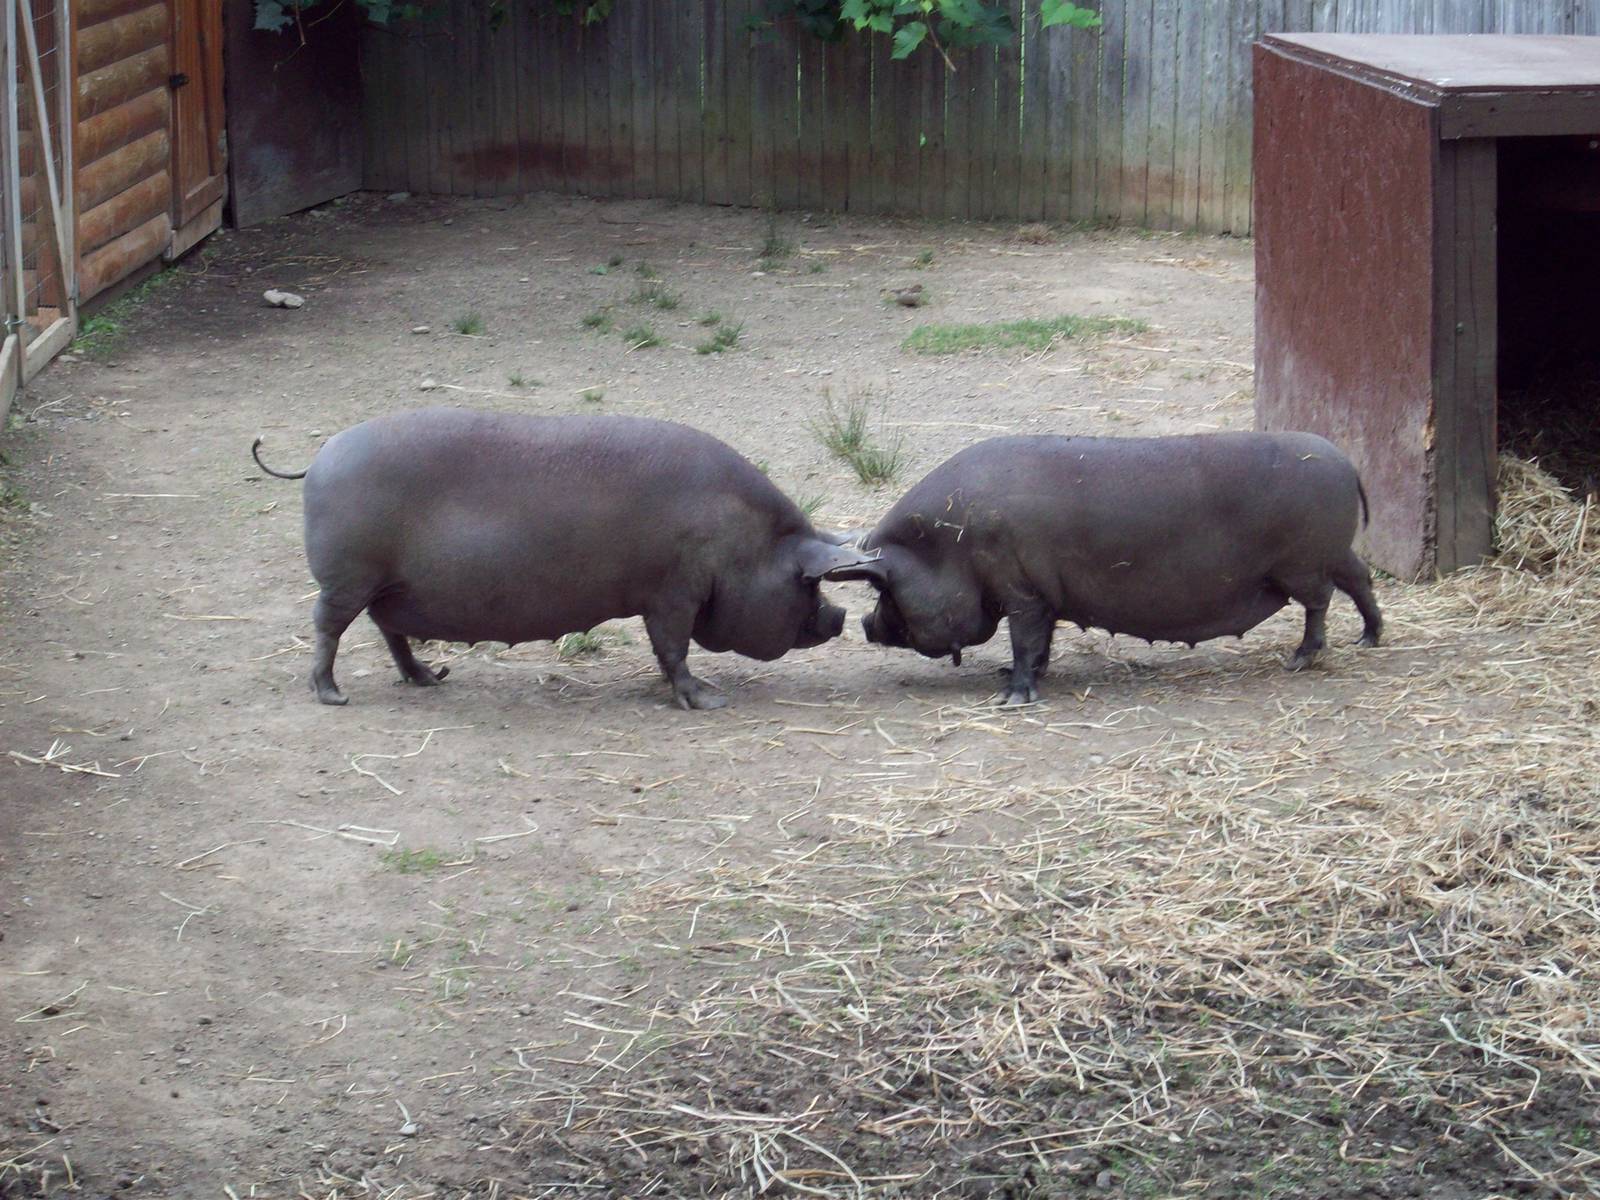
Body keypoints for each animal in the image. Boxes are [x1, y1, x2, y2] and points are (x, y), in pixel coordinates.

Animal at [251, 408, 873, 710]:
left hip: (387, 587)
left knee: (390, 633)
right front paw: (710, 701)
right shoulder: (672, 593)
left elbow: (664, 652)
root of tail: (321, 456)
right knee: (328, 628)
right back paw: (334, 695)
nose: (842, 617)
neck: (743, 542)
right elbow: (673, 650)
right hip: (347, 579)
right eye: (809, 584)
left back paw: (431, 679)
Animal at [825, 431, 1382, 705]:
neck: (949, 545)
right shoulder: (1044, 597)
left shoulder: (1021, 591)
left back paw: (1299, 660)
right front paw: (1014, 676)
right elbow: (1040, 643)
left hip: (1303, 563)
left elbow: (1024, 640)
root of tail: (1348, 463)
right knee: (1360, 580)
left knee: (1320, 603)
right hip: (1334, 552)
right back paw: (1369, 641)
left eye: (884, 590)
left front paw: (1010, 698)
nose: (866, 624)